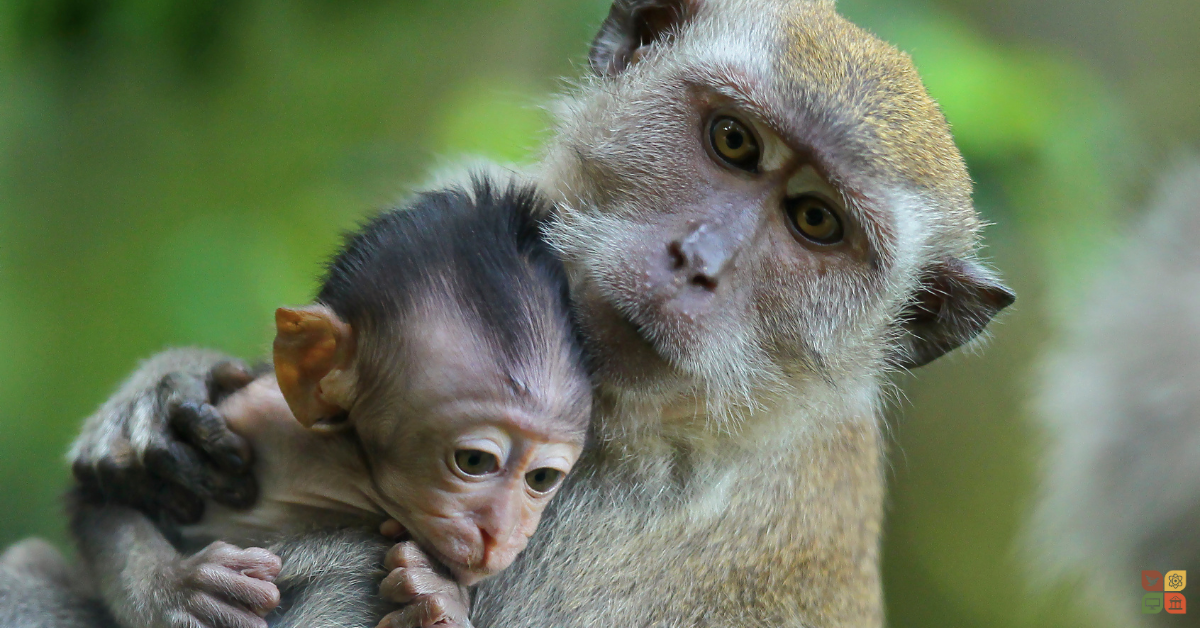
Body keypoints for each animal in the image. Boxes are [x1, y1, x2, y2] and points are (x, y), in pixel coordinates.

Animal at [62, 178, 592, 628]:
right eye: (475, 461)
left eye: (542, 479)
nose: (499, 533)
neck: (341, 465)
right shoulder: (252, 415)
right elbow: (100, 498)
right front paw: (175, 593)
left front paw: (440, 600)